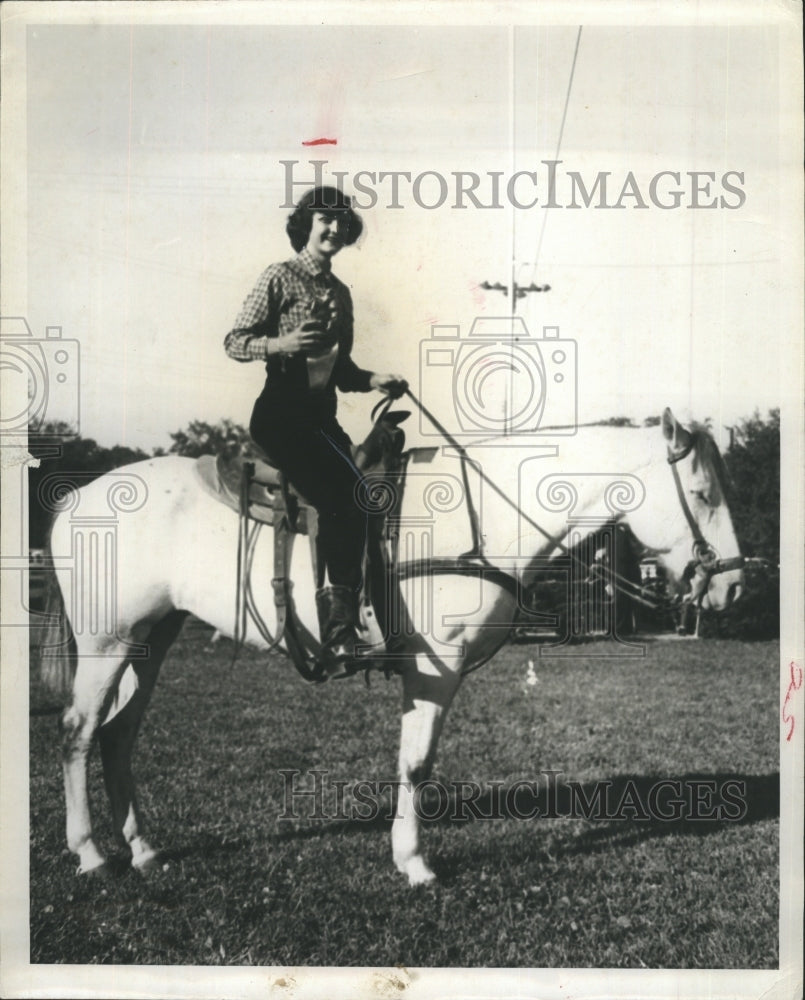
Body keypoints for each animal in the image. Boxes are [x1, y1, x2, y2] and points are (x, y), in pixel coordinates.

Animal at [37, 404, 740, 884]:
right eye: (703, 494)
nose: (731, 586)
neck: (485, 515)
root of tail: (75, 499)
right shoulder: (436, 668)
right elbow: (417, 763)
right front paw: (415, 862)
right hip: (108, 642)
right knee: (76, 732)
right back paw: (91, 853)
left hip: (151, 640)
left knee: (118, 735)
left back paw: (143, 848)